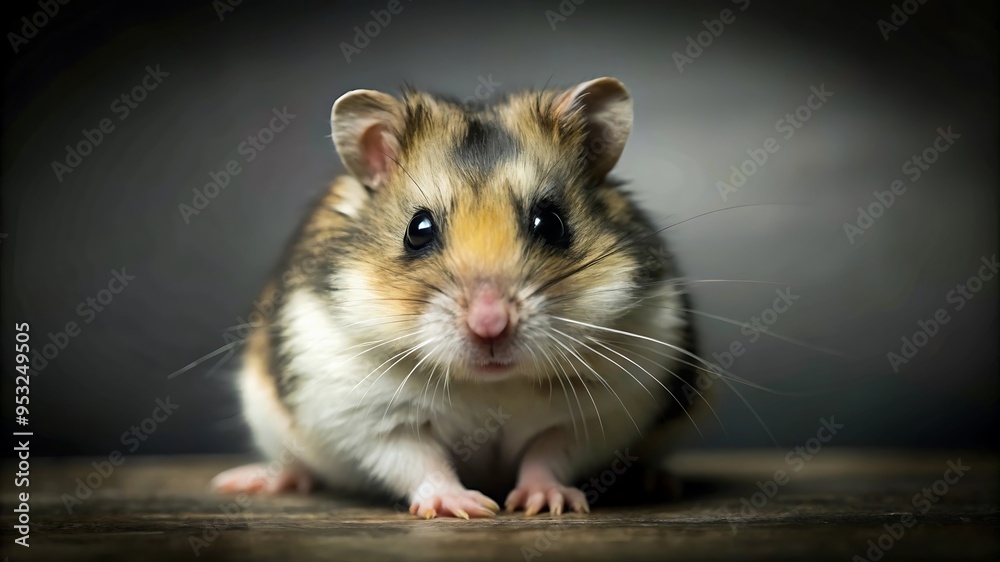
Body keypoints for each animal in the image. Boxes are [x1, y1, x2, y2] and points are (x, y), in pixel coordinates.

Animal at [211, 77, 702, 518]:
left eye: (551, 223)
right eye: (418, 230)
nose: (490, 326)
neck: (489, 384)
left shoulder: (601, 410)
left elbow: (550, 452)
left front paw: (546, 502)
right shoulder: (365, 414)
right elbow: (418, 460)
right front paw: (467, 507)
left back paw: (658, 482)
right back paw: (253, 480)